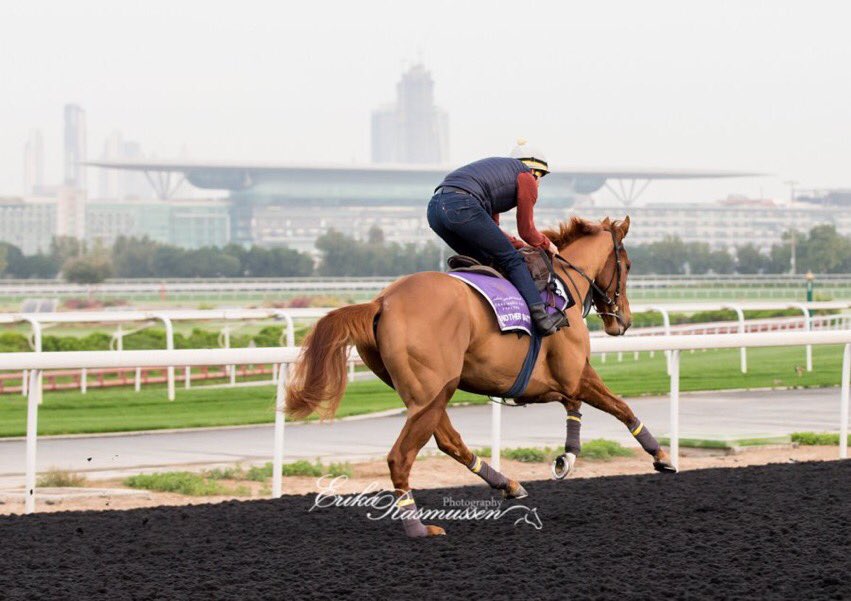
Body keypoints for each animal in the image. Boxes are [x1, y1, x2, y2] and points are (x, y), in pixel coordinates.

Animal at [290, 218, 676, 536]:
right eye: (628, 265)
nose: (623, 321)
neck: (563, 285)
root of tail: (381, 302)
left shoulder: (566, 377)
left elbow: (589, 406)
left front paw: (570, 457)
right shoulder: (565, 377)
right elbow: (616, 405)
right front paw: (660, 456)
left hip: (429, 393)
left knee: (449, 441)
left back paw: (507, 484)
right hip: (432, 392)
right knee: (401, 456)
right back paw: (418, 528)